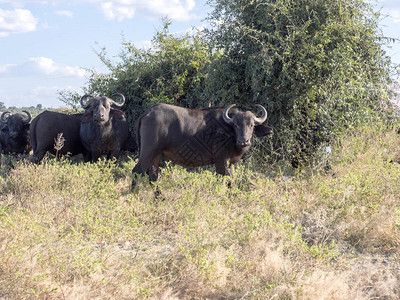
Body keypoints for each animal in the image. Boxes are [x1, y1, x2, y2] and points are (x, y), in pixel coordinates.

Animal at [131, 104, 272, 186]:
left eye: (251, 125)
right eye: (236, 125)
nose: (243, 140)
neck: (229, 133)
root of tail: (147, 113)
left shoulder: (230, 162)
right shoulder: (221, 160)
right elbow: (224, 179)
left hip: (157, 155)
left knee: (153, 175)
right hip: (148, 152)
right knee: (137, 171)